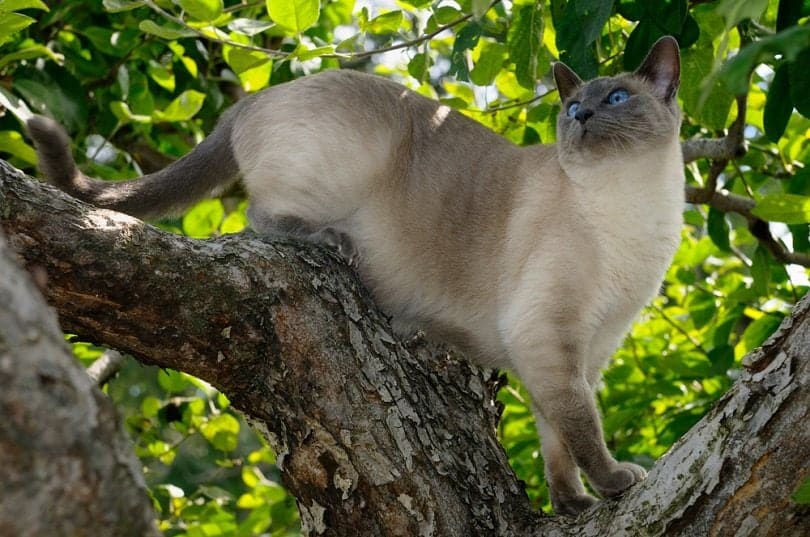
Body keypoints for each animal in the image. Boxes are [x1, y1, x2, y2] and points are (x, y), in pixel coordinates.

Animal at [25, 36, 680, 516]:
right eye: (573, 109)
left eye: (616, 99)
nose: (583, 114)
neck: (634, 206)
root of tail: (256, 98)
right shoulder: (546, 336)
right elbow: (582, 428)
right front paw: (616, 482)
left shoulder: (585, 351)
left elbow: (558, 440)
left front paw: (572, 506)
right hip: (338, 169)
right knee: (256, 217)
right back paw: (328, 242)